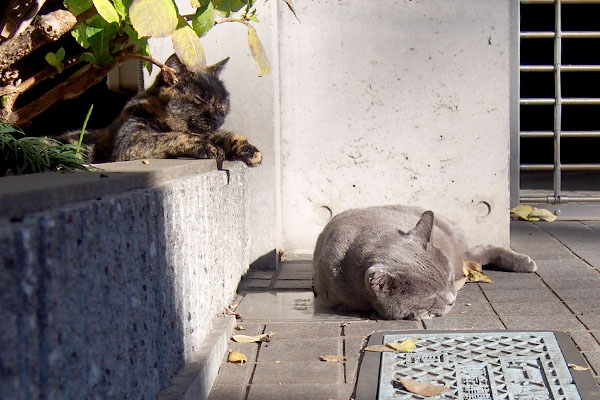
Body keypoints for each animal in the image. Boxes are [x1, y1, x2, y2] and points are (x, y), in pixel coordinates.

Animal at [57, 54, 262, 166]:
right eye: (200, 99)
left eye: (223, 102)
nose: (218, 117)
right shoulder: (131, 142)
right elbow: (170, 137)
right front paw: (207, 146)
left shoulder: (209, 131)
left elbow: (223, 134)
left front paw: (248, 149)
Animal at [312, 205, 536, 320]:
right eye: (431, 295)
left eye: (448, 279)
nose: (452, 300)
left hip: (458, 251)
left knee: (481, 250)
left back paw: (525, 262)